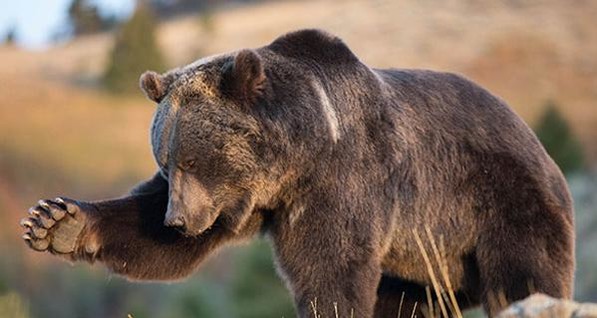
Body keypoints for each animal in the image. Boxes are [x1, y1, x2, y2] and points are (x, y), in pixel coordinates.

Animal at [22, 29, 572, 318]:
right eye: (166, 162)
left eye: (193, 160)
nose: (176, 221)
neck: (294, 162)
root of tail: (541, 147)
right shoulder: (243, 204)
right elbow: (151, 238)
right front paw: (55, 221)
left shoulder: (344, 182)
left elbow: (331, 269)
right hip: (421, 259)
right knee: (408, 301)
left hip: (500, 205)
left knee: (526, 277)